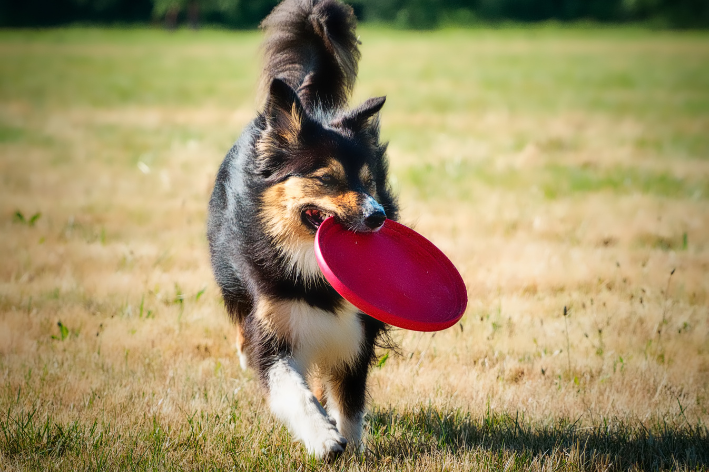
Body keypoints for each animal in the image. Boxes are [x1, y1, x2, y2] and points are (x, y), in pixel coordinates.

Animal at [207, 0, 398, 460]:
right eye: (327, 179)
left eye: (369, 182)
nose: (378, 216)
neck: (308, 261)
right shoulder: (272, 327)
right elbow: (291, 391)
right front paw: (323, 438)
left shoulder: (355, 330)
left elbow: (349, 399)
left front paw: (353, 447)